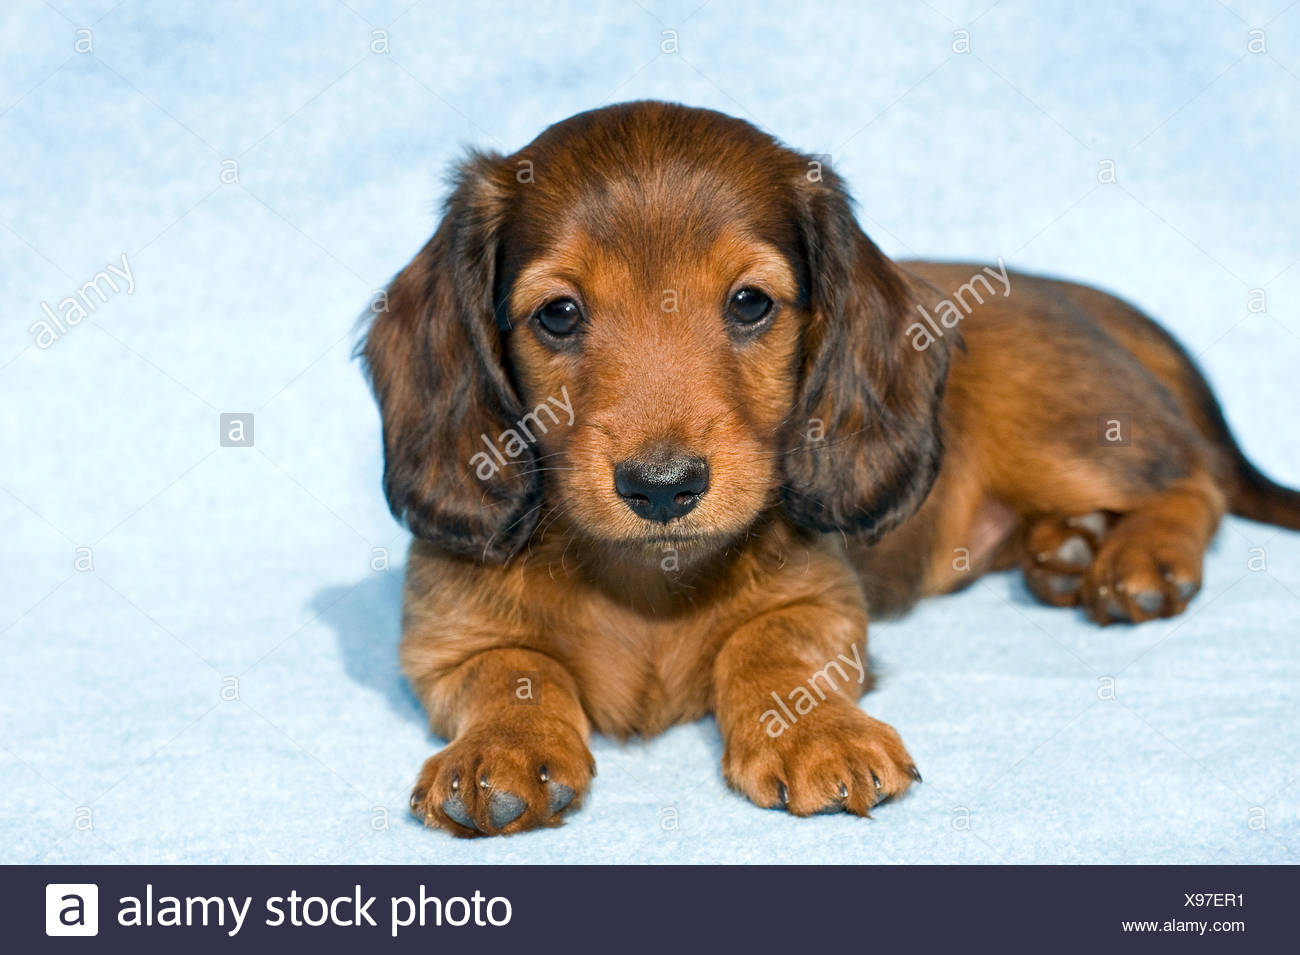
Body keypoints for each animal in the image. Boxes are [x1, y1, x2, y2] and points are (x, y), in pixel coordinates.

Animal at [358, 102, 1300, 836]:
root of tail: (1074, 293)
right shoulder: (443, 643)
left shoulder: (823, 600)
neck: (647, 579)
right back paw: (1067, 550)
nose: (662, 489)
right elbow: (514, 666)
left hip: (1067, 435)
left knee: (1196, 480)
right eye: (558, 314)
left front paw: (815, 734)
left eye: (750, 302)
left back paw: (1138, 560)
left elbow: (768, 643)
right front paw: (500, 750)